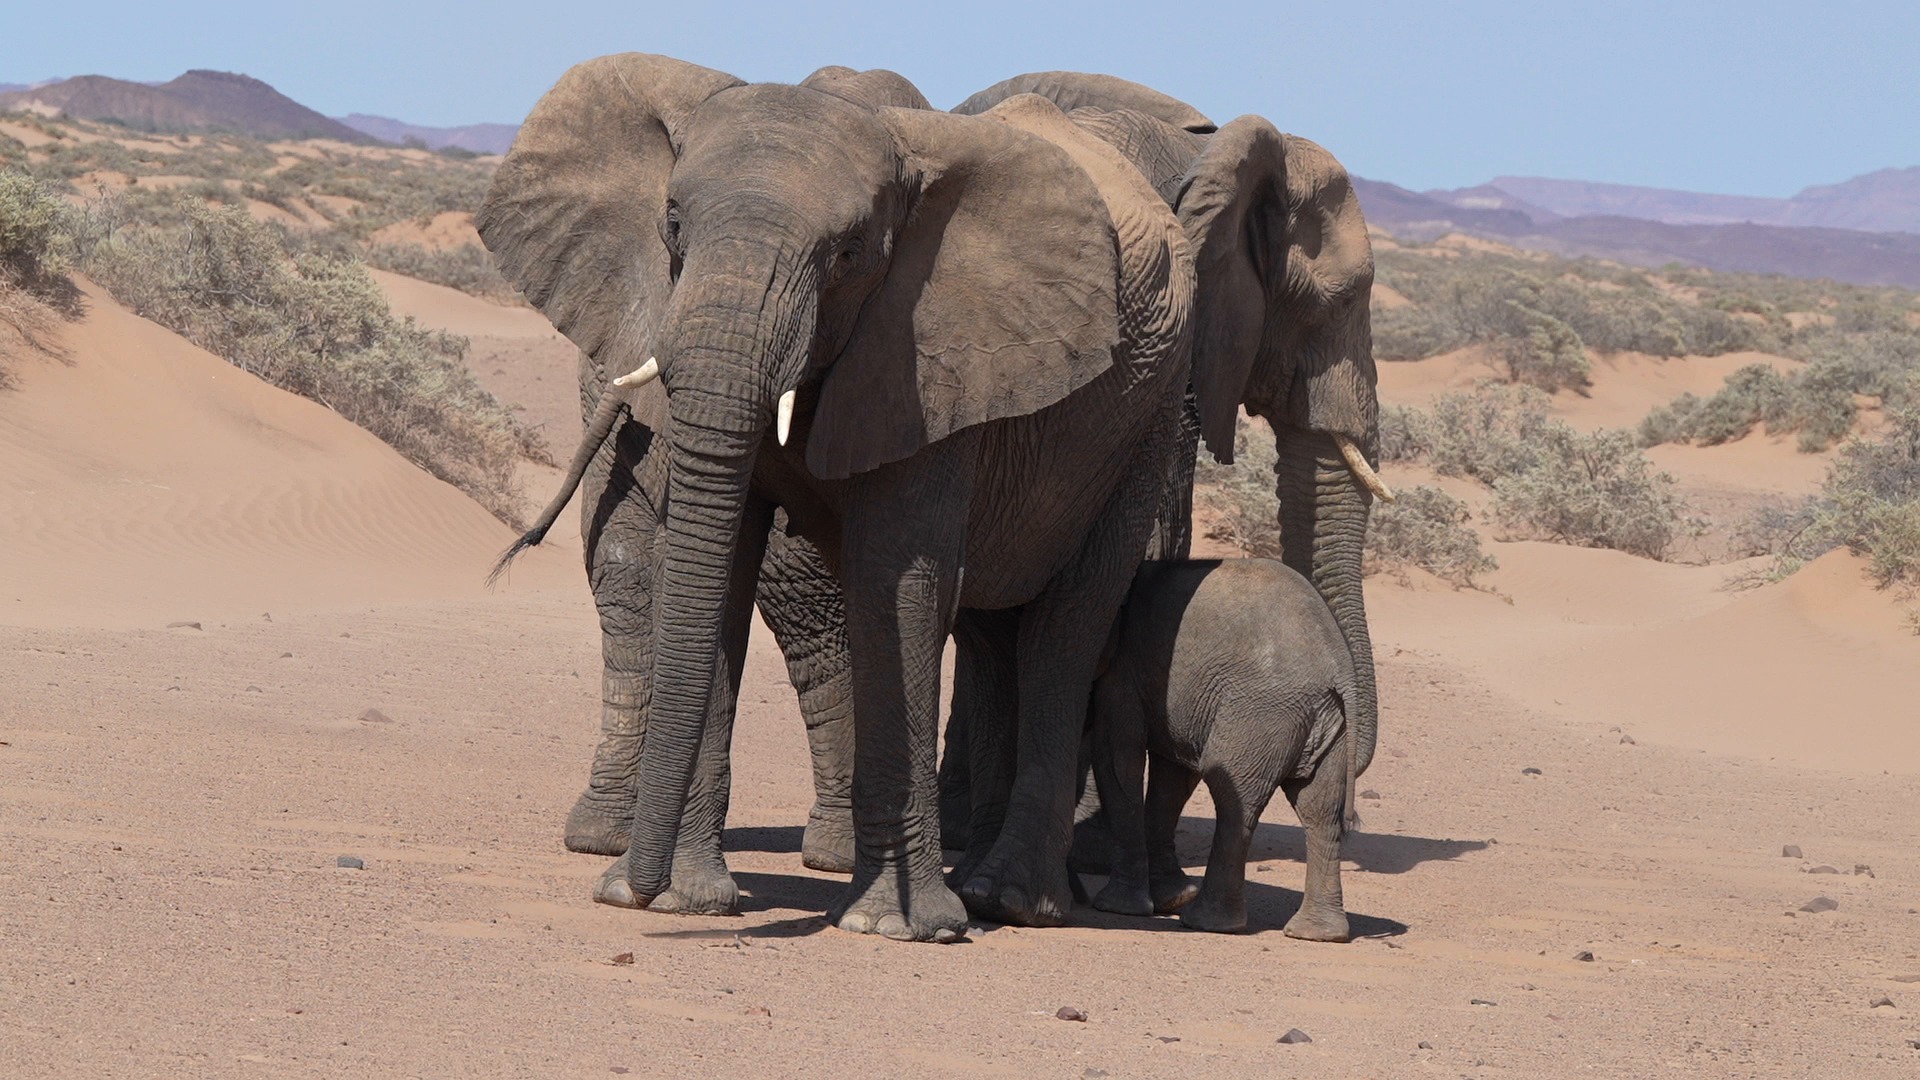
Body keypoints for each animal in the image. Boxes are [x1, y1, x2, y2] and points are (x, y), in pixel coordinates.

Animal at [480, 53, 1202, 940]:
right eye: (673, 223)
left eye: (850, 254)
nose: (628, 895)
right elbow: (720, 560)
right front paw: (688, 898)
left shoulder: (934, 350)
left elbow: (898, 580)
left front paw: (897, 926)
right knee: (997, 634)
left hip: (1148, 416)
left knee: (1063, 630)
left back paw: (1007, 899)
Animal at [1088, 558, 1356, 939]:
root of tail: (1338, 665)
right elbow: (1172, 778)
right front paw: (1171, 898)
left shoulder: (1124, 672)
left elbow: (1117, 759)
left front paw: (1118, 908)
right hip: (1328, 726)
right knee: (1321, 809)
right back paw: (1317, 933)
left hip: (1260, 713)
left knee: (1233, 797)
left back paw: (1208, 923)